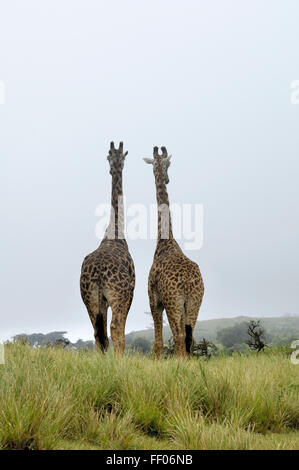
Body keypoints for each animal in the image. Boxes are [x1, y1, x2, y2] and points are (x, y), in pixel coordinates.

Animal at [80, 141, 135, 354]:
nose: (113, 168)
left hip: (90, 298)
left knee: (98, 334)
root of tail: (97, 272)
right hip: (118, 297)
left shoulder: (101, 300)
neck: (115, 231)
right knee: (115, 329)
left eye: (111, 157)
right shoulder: (130, 294)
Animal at [144, 145, 205, 358]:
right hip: (194, 301)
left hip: (174, 302)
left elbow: (158, 342)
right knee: (189, 336)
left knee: (179, 335)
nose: (167, 178)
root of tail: (187, 281)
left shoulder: (154, 300)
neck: (165, 241)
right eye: (167, 164)